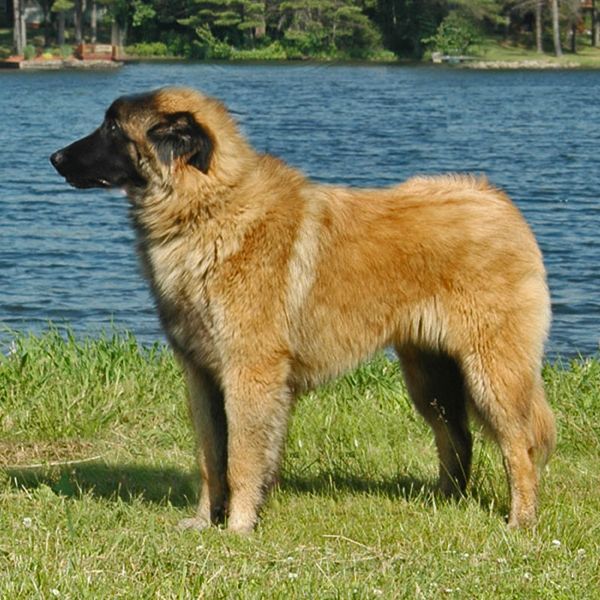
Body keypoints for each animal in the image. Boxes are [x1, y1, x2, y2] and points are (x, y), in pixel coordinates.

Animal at [49, 86, 556, 532]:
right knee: (457, 438)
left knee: (518, 446)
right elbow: (211, 457)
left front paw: (238, 527)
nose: (54, 158)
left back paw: (521, 521)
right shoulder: (202, 375)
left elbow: (241, 459)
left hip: (491, 371)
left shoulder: (249, 372)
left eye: (113, 127)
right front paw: (205, 522)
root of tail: (499, 202)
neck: (211, 206)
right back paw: (445, 503)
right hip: (431, 375)